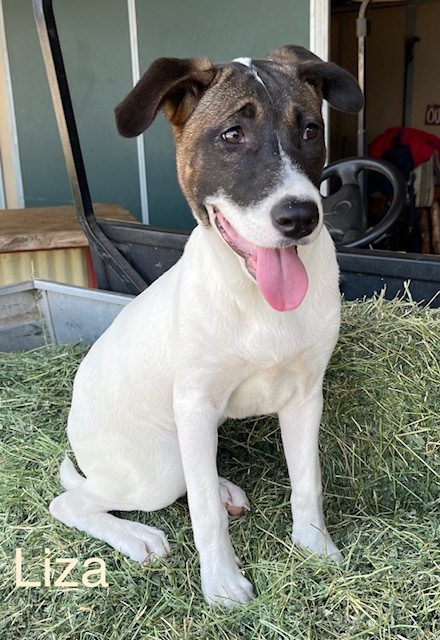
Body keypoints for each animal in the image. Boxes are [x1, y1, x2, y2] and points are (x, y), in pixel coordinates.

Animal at [49, 43, 362, 604]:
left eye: (310, 130)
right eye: (232, 135)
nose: (301, 217)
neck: (257, 303)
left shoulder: (306, 396)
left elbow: (308, 482)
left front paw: (315, 548)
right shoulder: (194, 404)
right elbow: (204, 516)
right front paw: (222, 584)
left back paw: (222, 487)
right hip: (160, 466)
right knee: (75, 501)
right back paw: (139, 536)